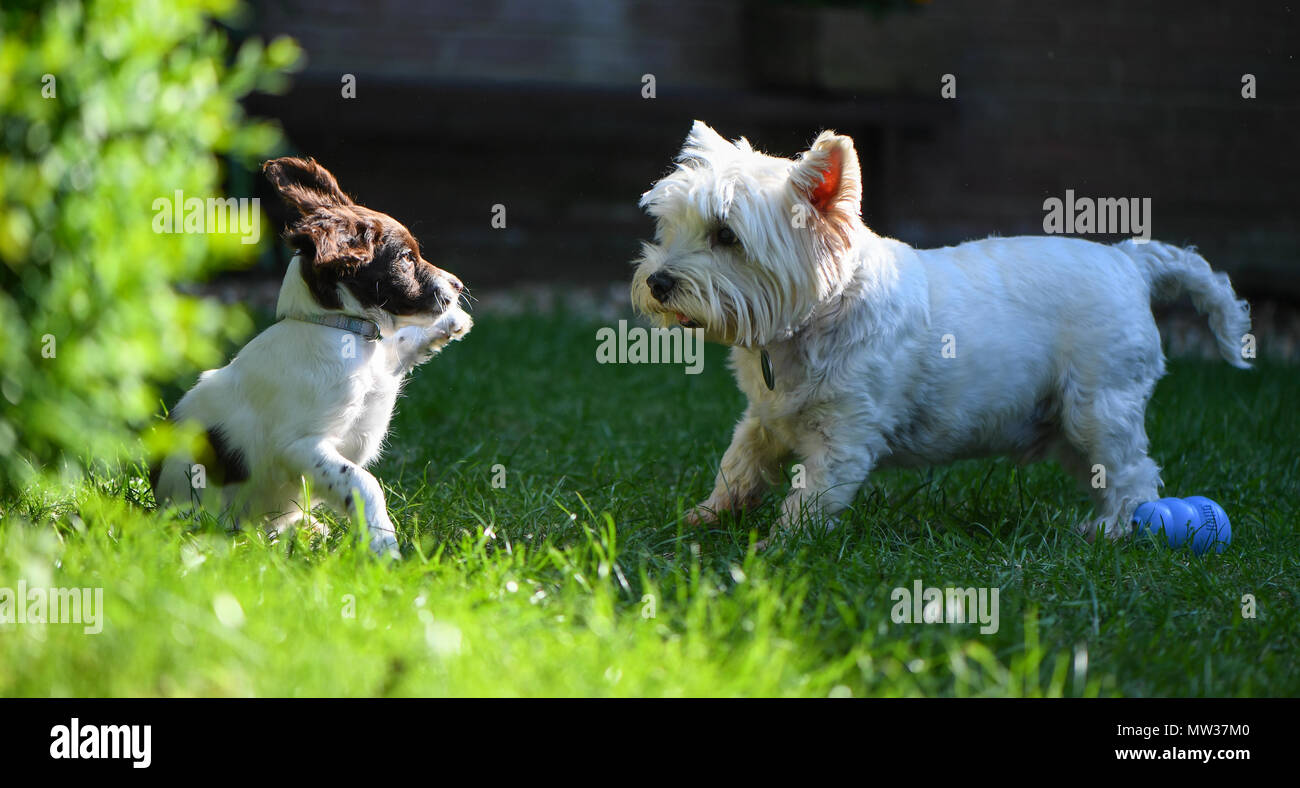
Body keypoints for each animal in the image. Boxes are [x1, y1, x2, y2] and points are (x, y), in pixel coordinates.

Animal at [151, 157, 470, 559]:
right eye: (406, 258)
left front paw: (452, 321)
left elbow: (396, 342)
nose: (458, 285)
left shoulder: (379, 373)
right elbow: (363, 482)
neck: (342, 332)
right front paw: (383, 543)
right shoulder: (301, 444)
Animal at [629, 122, 1248, 543]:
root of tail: (1129, 263)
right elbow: (738, 464)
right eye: (669, 227)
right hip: (1065, 423)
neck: (815, 318)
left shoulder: (844, 435)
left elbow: (812, 498)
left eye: (727, 235)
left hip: (1099, 406)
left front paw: (778, 549)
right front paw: (706, 516)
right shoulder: (765, 417)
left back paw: (1114, 533)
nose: (657, 283)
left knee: (1134, 474)